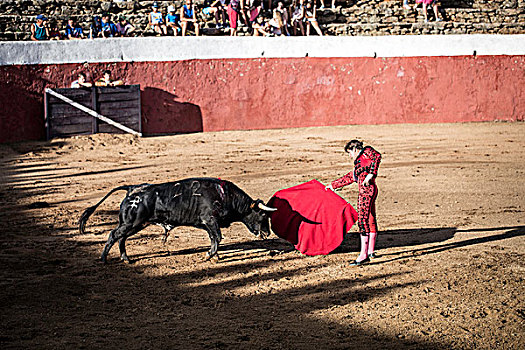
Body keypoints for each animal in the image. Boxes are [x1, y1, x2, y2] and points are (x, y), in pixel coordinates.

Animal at [78, 178, 278, 262]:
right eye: (263, 215)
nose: (267, 233)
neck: (225, 195)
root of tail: (132, 188)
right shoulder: (209, 220)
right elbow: (218, 238)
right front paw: (209, 256)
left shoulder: (208, 224)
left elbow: (214, 239)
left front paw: (215, 256)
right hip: (131, 223)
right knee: (114, 235)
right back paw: (104, 259)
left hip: (136, 224)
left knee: (122, 238)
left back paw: (126, 258)